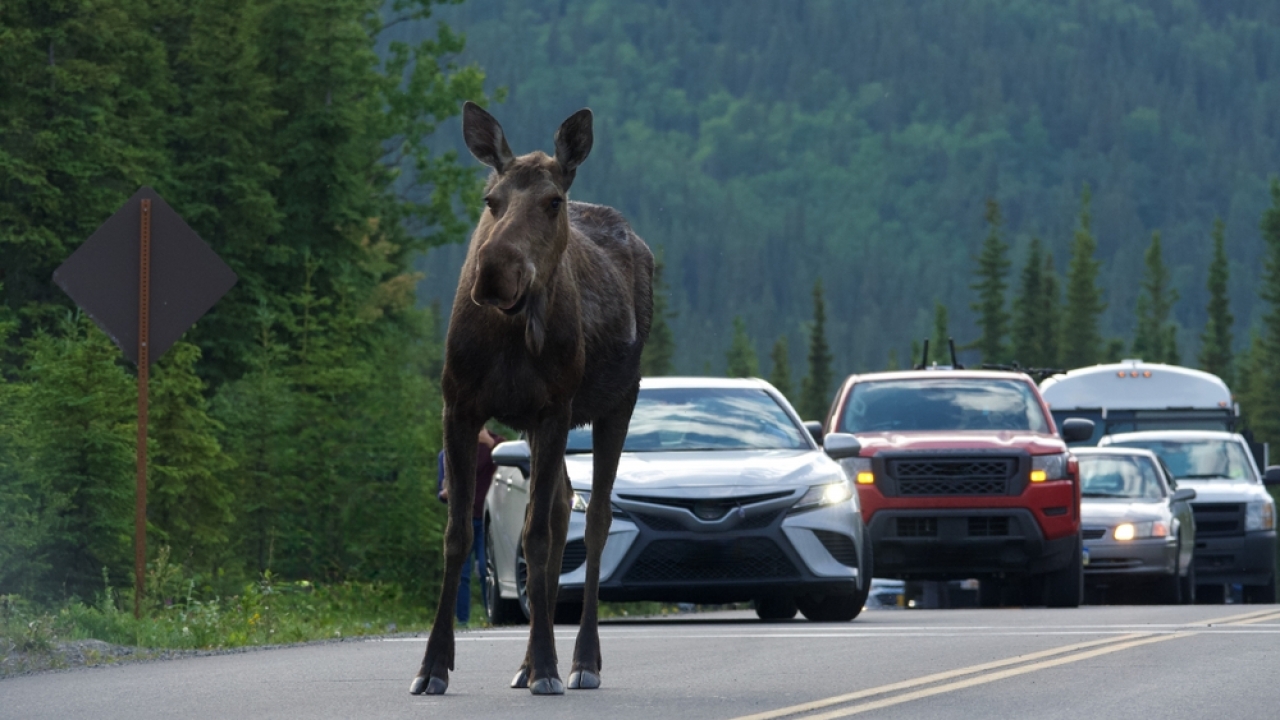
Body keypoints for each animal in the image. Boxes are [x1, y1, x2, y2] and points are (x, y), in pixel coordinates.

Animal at [410, 102, 653, 696]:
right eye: (490, 201)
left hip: (617, 401)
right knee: (565, 505)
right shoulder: (459, 406)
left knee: (594, 520)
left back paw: (582, 661)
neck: (511, 335)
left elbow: (538, 538)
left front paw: (547, 665)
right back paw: (525, 664)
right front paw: (433, 666)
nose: (495, 270)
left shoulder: (553, 410)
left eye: (552, 201)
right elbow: (458, 534)